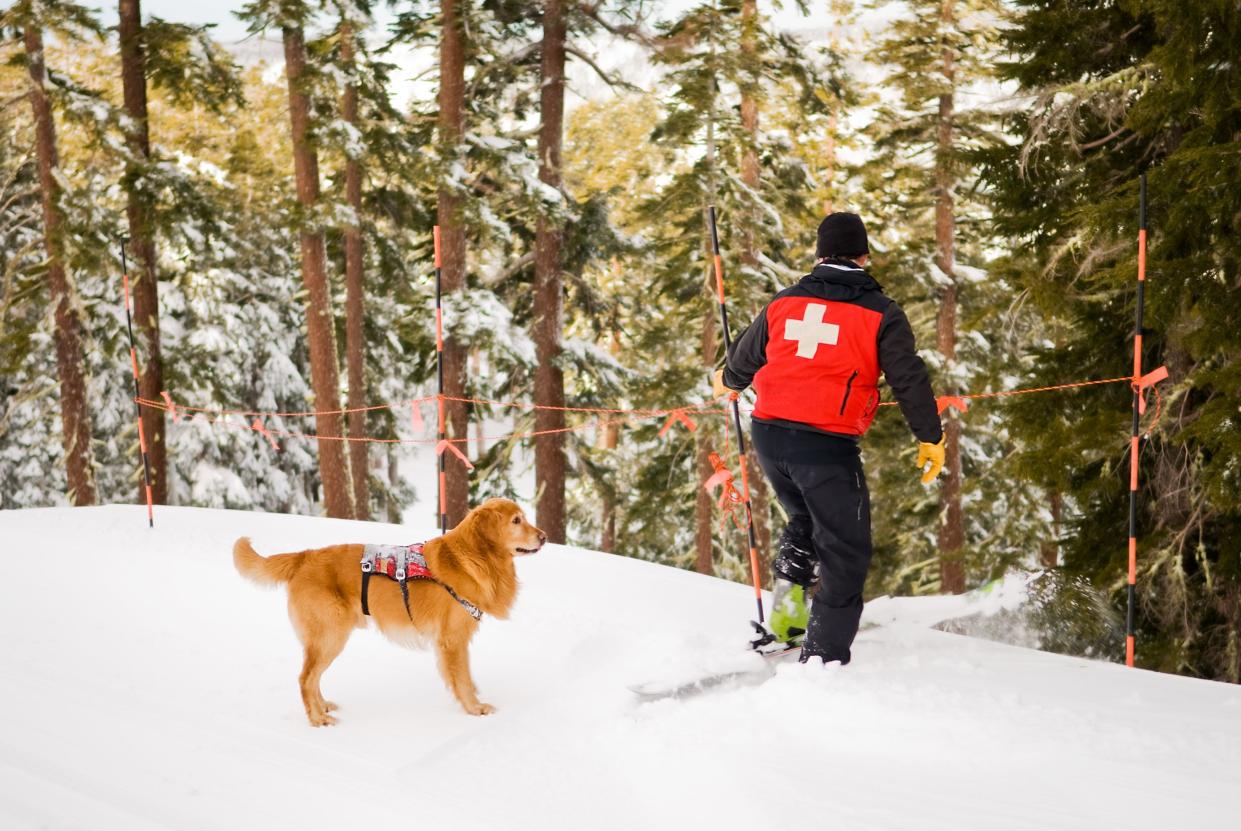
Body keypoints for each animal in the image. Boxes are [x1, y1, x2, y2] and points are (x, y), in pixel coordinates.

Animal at [233, 498, 543, 724]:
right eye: (516, 520)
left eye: (524, 517)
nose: (544, 536)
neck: (473, 557)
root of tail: (304, 557)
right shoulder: (452, 640)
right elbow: (463, 678)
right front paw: (474, 707)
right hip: (330, 636)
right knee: (305, 678)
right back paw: (317, 718)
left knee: (313, 677)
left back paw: (323, 706)